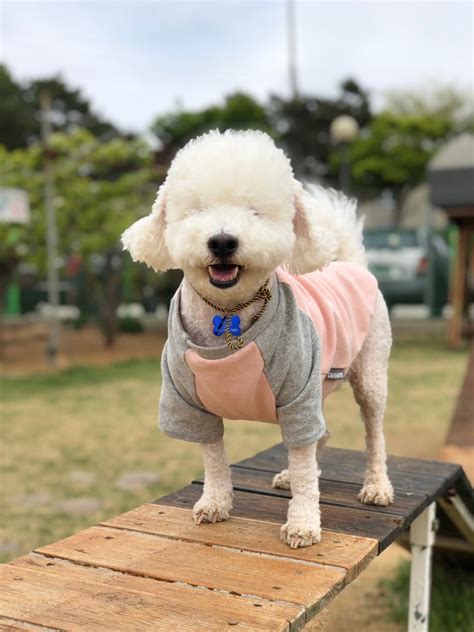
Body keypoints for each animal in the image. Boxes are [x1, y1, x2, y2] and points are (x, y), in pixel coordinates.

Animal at [121, 131, 392, 552]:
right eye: (197, 210)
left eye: (256, 213)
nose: (221, 241)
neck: (229, 315)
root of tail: (349, 263)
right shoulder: (190, 402)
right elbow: (214, 458)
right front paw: (215, 502)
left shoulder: (298, 390)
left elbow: (305, 464)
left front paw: (302, 523)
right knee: (320, 433)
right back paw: (290, 474)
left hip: (369, 372)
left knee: (372, 430)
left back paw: (376, 486)